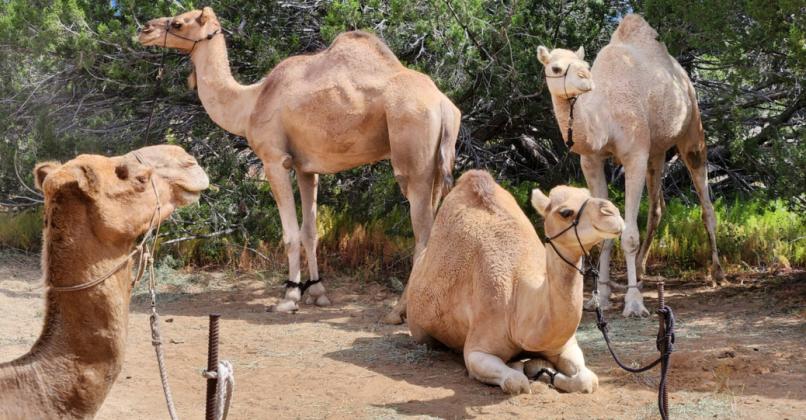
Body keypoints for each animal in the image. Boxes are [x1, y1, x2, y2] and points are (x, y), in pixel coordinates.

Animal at [138, 7, 461, 323]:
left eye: (178, 23)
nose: (144, 29)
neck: (250, 102)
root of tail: (443, 104)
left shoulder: (274, 160)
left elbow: (291, 234)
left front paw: (289, 297)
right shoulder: (307, 168)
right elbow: (310, 232)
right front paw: (317, 292)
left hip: (413, 161)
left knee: (423, 235)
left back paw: (397, 313)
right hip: (434, 167)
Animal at [406, 170, 624, 394]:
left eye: (587, 193)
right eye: (565, 212)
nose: (612, 212)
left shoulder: (565, 345)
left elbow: (588, 380)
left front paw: (544, 370)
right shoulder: (477, 349)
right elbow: (516, 382)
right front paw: (526, 368)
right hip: (419, 328)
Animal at [536, 14, 724, 317]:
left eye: (584, 66)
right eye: (556, 67)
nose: (585, 79)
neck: (605, 116)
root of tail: (681, 74)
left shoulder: (634, 155)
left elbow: (629, 235)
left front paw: (634, 303)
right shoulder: (591, 160)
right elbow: (604, 232)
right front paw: (599, 298)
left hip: (692, 127)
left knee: (705, 202)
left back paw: (717, 273)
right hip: (657, 150)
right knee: (657, 207)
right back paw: (642, 268)